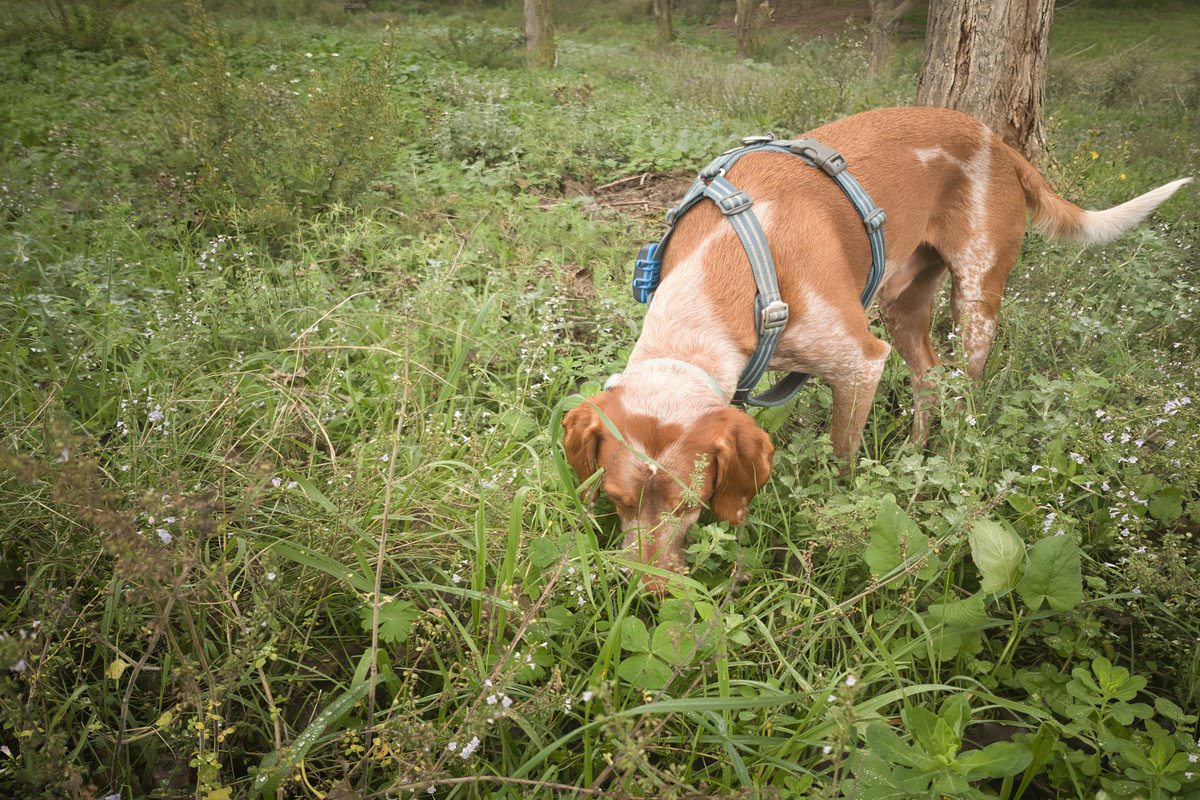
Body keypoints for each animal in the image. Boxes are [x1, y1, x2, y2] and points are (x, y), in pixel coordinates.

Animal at [564, 106, 1190, 592]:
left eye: (689, 506)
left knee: (965, 393)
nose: (646, 590)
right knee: (930, 378)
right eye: (615, 500)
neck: (725, 266)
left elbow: (842, 459)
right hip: (903, 301)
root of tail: (1001, 145)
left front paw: (841, 515)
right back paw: (912, 455)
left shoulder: (861, 362)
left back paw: (948, 461)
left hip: (976, 299)